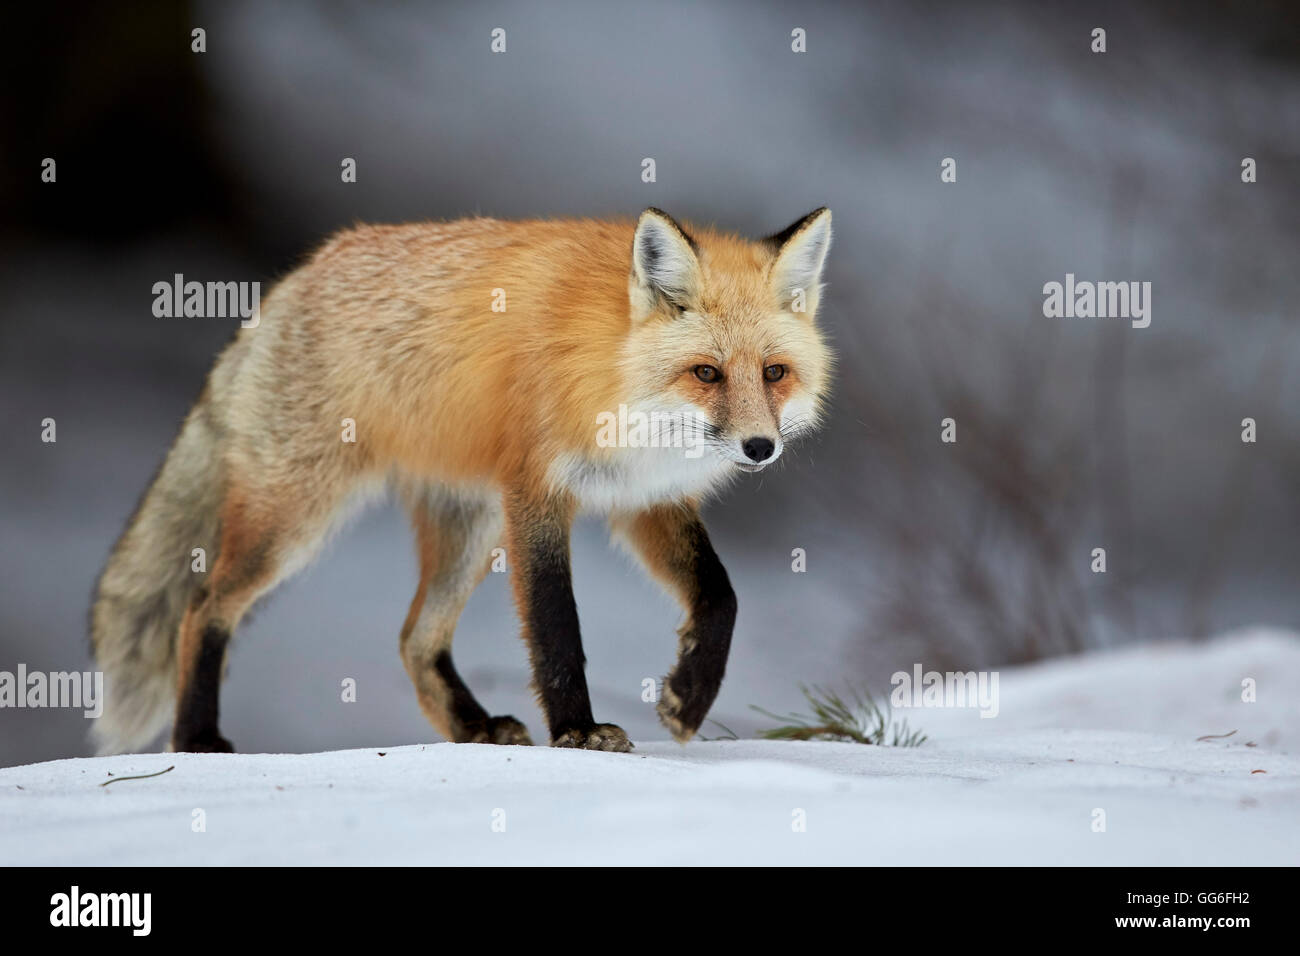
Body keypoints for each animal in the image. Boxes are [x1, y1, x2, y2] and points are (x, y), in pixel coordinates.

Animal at [90, 206, 834, 755]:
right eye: (707, 373)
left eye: (774, 373)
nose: (760, 447)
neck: (613, 378)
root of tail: (294, 278)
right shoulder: (536, 491)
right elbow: (557, 625)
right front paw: (577, 731)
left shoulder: (643, 497)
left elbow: (720, 595)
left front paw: (689, 696)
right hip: (295, 519)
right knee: (202, 605)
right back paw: (195, 739)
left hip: (469, 529)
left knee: (414, 639)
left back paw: (473, 728)